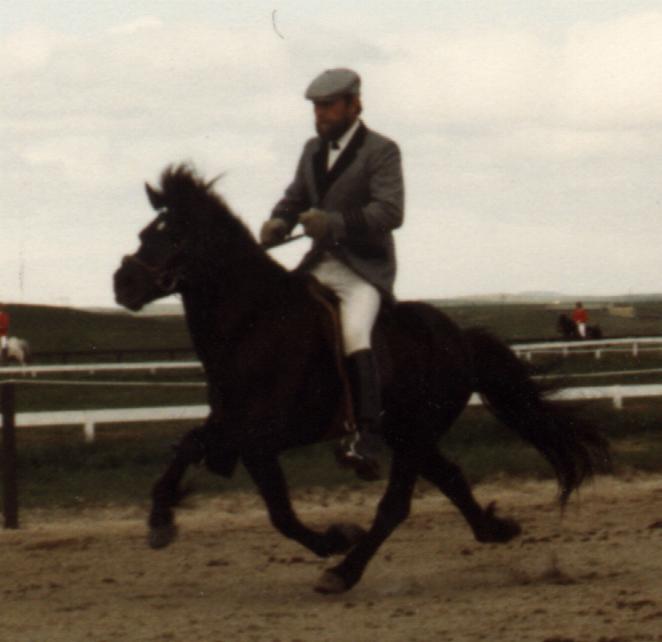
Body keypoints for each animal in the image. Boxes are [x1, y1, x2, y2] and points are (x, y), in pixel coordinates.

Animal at [113, 165, 612, 592]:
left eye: (175, 235)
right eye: (144, 234)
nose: (123, 284)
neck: (254, 323)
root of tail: (460, 337)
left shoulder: (265, 433)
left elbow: (272, 504)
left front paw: (336, 540)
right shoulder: (235, 427)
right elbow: (201, 454)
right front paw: (160, 519)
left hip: (414, 435)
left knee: (396, 505)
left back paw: (344, 572)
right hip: (406, 432)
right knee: (450, 476)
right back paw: (494, 529)